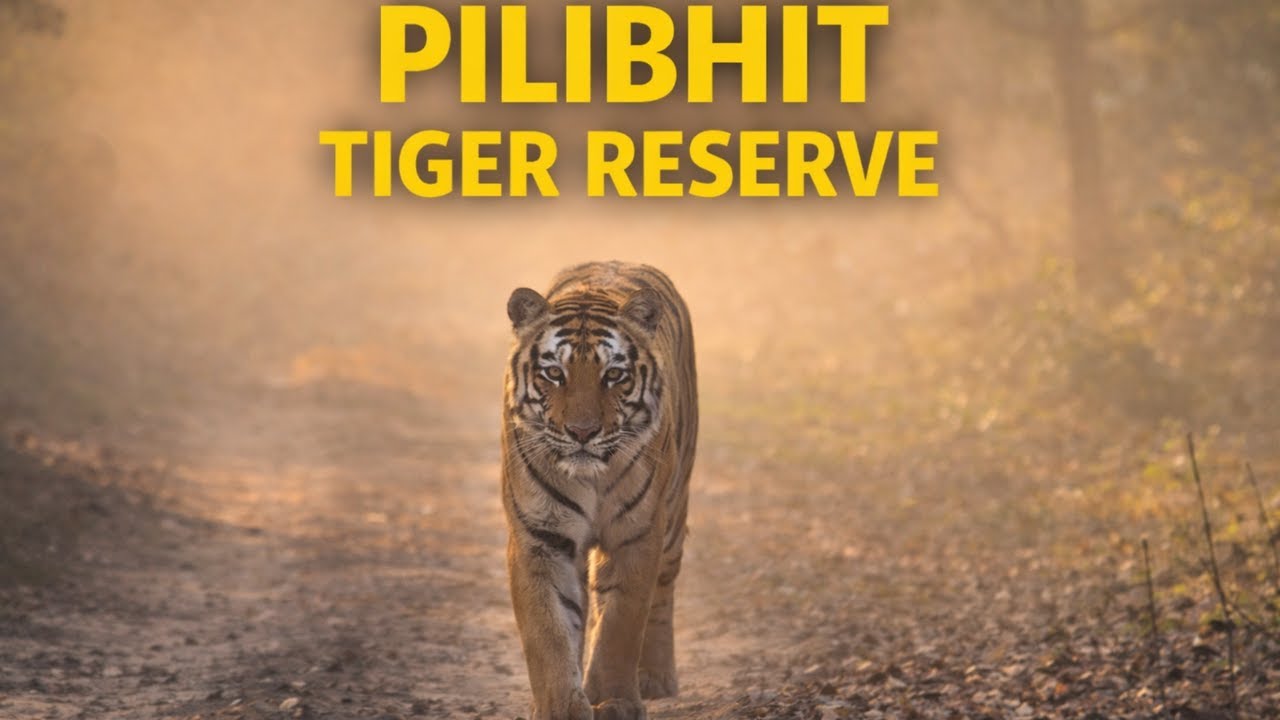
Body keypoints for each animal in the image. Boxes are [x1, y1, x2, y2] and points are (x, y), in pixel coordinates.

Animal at [501, 261, 698, 720]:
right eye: (554, 373)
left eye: (614, 375)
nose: (582, 432)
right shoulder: (539, 538)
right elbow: (548, 632)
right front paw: (560, 706)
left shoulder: (636, 535)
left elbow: (620, 624)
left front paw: (613, 700)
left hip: (674, 515)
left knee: (663, 593)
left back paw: (655, 679)